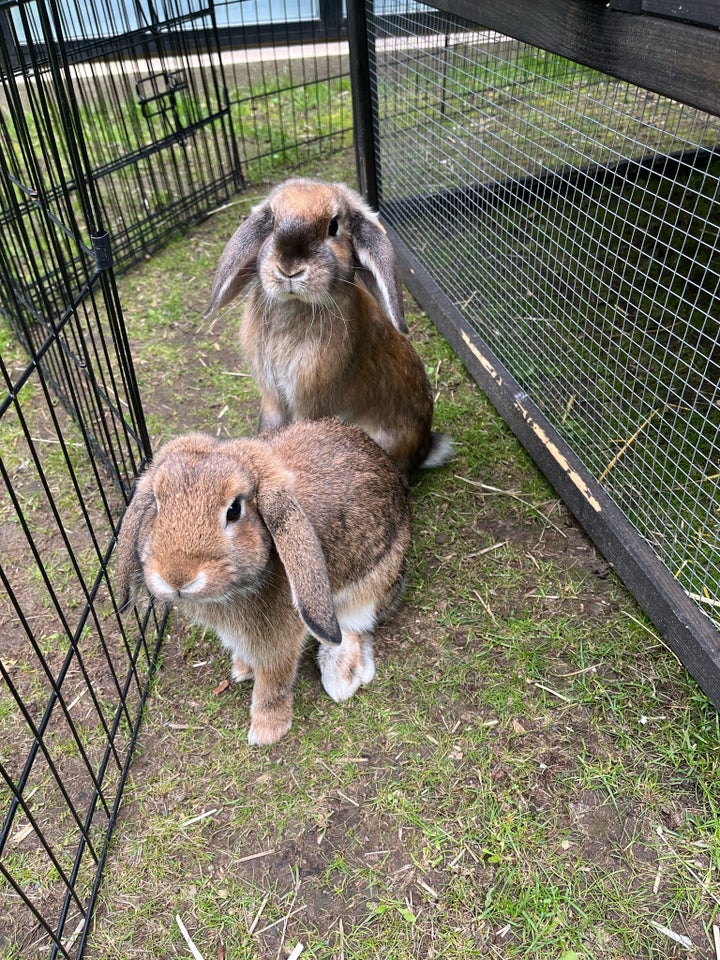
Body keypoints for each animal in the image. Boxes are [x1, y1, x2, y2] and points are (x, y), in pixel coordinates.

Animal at [116, 418, 410, 744]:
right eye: (156, 503)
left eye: (234, 509)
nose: (177, 576)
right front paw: (242, 669)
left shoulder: (279, 639)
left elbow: (273, 679)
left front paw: (267, 730)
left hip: (369, 587)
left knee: (353, 627)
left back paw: (341, 675)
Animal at [204, 176, 450, 476]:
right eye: (271, 221)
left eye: (333, 226)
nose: (289, 268)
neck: (295, 306)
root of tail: (423, 449)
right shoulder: (272, 395)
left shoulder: (309, 402)